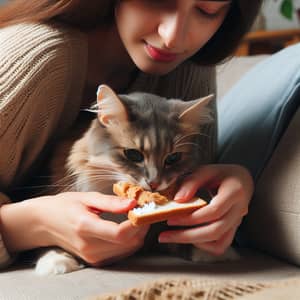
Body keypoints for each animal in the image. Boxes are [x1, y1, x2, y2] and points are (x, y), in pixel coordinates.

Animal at [34, 85, 238, 276]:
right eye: (133, 155)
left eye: (173, 158)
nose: (154, 183)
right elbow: (50, 241)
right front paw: (55, 262)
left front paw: (214, 252)